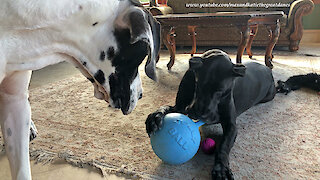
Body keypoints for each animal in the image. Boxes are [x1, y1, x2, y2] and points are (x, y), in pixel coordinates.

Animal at [146, 49, 276, 180]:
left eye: (220, 91)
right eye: (198, 84)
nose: (200, 114)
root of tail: (267, 70)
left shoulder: (231, 125)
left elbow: (224, 145)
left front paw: (221, 168)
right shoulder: (180, 107)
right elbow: (166, 107)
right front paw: (155, 117)